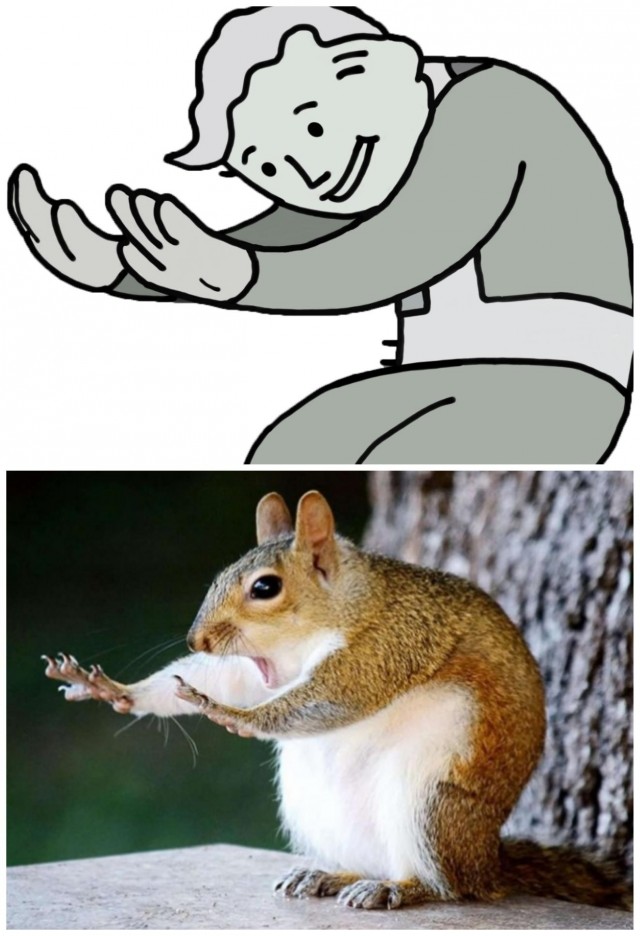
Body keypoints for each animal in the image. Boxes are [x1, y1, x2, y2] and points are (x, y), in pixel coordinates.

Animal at [43, 490, 631, 912]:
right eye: (220, 575)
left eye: (265, 588)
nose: (198, 640)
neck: (341, 608)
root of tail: (488, 862)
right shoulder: (259, 668)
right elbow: (223, 679)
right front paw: (115, 689)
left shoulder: (390, 643)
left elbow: (332, 698)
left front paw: (233, 715)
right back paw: (328, 874)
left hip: (430, 805)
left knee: (451, 887)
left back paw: (400, 889)